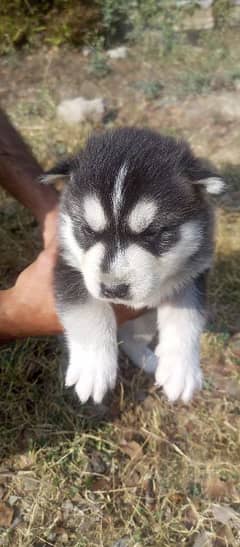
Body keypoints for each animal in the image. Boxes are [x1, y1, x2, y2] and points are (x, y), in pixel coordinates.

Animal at [40, 127, 223, 402]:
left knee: (130, 337)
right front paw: (93, 366)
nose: (113, 289)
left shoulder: (193, 272)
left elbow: (187, 314)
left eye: (153, 233)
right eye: (87, 230)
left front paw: (181, 368)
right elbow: (88, 311)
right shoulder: (68, 266)